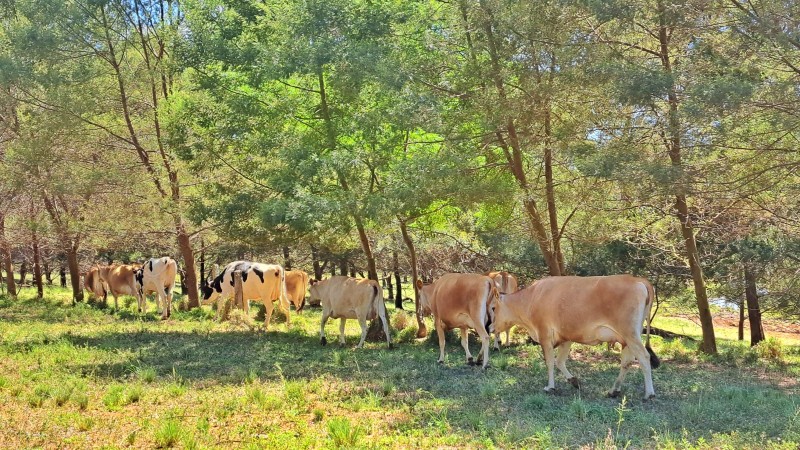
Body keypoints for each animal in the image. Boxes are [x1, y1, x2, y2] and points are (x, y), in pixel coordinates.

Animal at [490, 274, 660, 398]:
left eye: (493, 308)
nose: (490, 327)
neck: (532, 298)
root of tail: (639, 280)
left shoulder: (544, 334)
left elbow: (550, 362)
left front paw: (550, 387)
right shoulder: (566, 337)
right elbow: (560, 361)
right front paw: (573, 381)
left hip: (630, 334)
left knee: (644, 357)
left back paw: (649, 393)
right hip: (628, 338)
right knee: (627, 361)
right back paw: (613, 390)